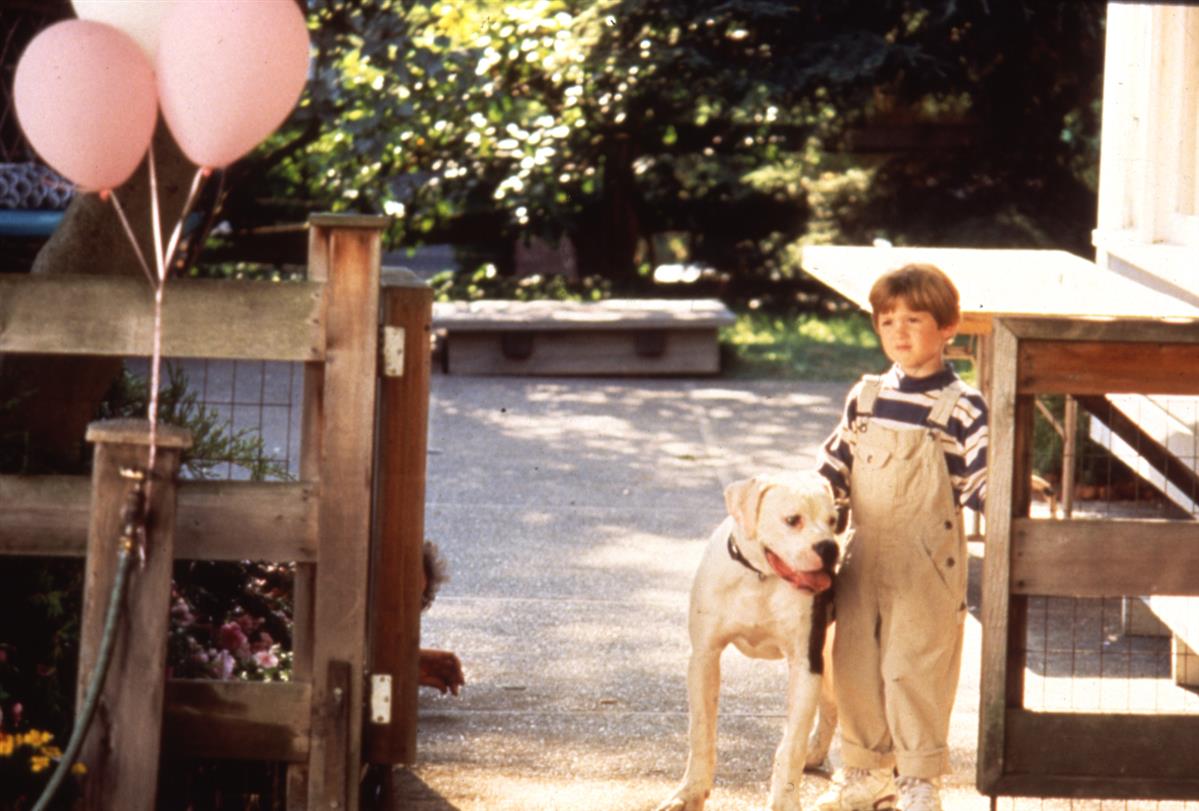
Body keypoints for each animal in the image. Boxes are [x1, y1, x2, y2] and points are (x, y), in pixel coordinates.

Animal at [657, 467, 844, 811]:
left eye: (833, 521)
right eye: (792, 520)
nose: (829, 548)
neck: (761, 579)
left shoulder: (805, 665)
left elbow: (791, 744)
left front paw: (785, 800)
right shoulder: (704, 656)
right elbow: (701, 730)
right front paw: (690, 792)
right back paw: (816, 753)